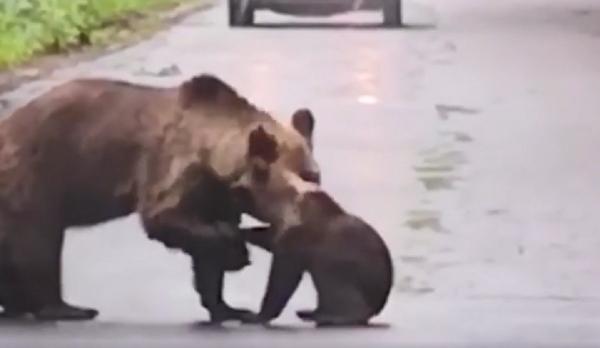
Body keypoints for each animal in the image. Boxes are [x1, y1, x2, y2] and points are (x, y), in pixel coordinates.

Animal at [0, 75, 322, 320]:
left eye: (314, 174)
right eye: (298, 182)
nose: (312, 203)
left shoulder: (215, 194)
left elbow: (205, 258)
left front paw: (228, 307)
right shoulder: (173, 166)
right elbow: (164, 217)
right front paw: (236, 253)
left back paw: (19, 305)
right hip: (34, 178)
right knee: (40, 241)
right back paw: (63, 308)